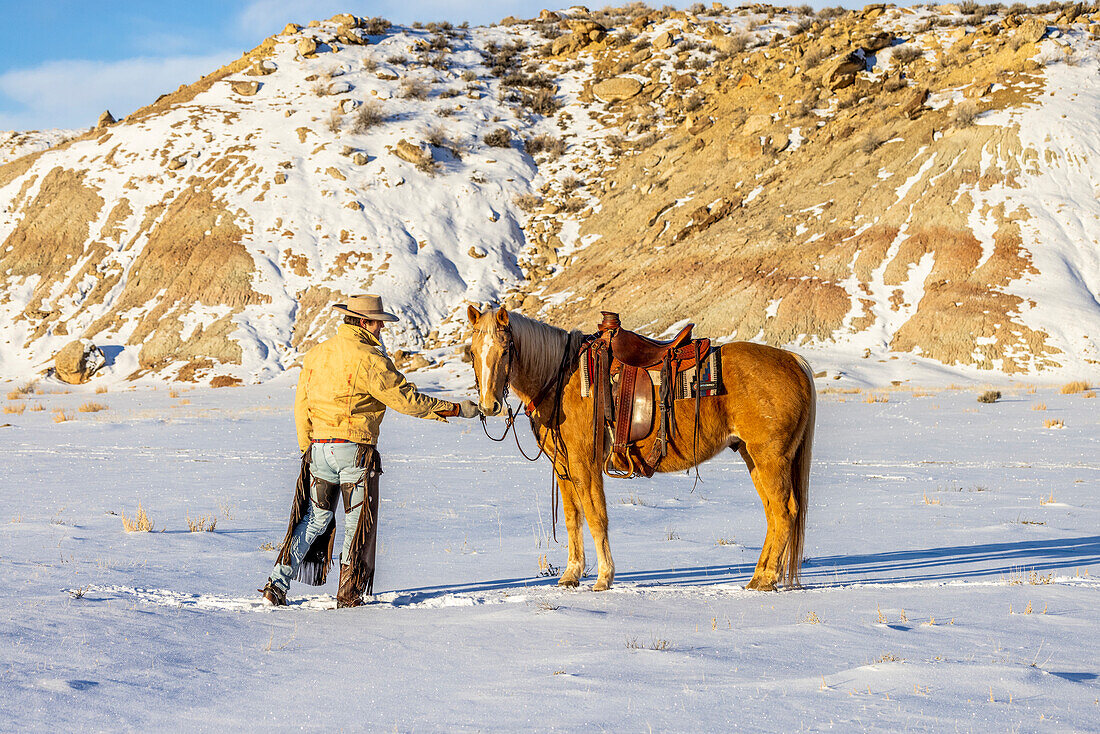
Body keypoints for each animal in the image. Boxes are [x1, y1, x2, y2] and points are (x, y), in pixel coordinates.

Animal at [464, 305, 818, 589]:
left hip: (770, 457)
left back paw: (766, 579)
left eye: (505, 350)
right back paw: (759, 577)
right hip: (753, 456)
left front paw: (604, 578)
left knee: (784, 511)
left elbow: (596, 517)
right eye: (472, 352)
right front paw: (570, 576)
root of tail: (793, 360)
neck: (561, 378)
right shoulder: (563, 467)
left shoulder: (585, 464)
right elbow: (572, 519)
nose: (489, 405)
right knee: (773, 513)